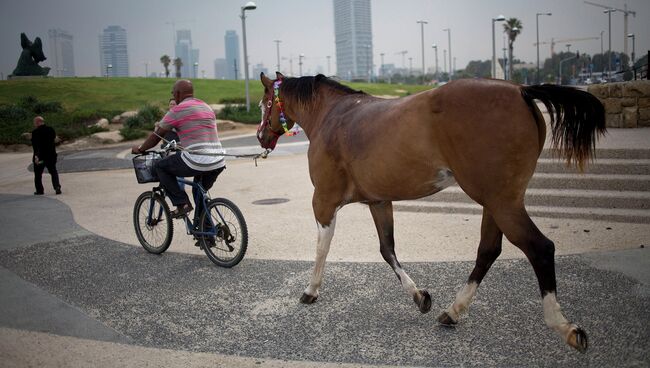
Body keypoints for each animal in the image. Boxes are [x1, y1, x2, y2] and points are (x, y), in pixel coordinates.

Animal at [256, 72, 604, 354]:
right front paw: (419, 296)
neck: (334, 115)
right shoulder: (379, 202)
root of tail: (521, 90)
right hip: (497, 202)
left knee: (540, 248)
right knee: (488, 251)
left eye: (263, 104)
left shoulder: (324, 201)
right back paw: (453, 310)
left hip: (503, 203)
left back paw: (565, 327)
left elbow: (322, 248)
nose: (261, 136)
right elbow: (387, 249)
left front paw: (311, 291)